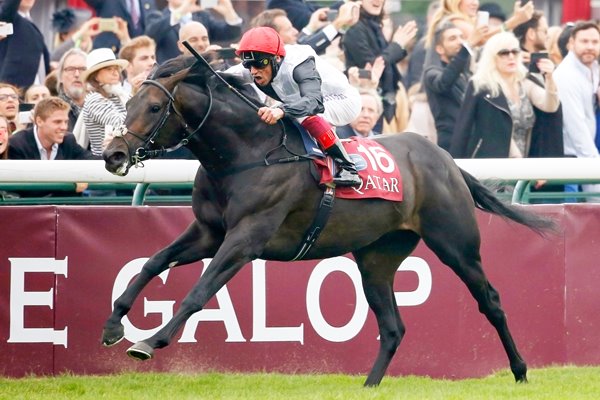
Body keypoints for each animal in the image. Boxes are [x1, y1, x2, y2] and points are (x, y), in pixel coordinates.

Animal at [101, 54, 556, 386]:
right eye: (127, 104)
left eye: (155, 107)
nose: (113, 154)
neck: (247, 154)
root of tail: (444, 158)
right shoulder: (208, 233)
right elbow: (152, 263)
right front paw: (112, 324)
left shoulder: (246, 238)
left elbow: (199, 292)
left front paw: (150, 340)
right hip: (377, 257)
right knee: (393, 327)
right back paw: (369, 386)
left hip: (455, 243)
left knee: (490, 301)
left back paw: (520, 371)